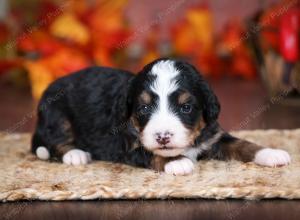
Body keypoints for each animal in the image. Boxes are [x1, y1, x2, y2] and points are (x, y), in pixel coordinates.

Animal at [32, 58, 290, 175]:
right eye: (144, 109)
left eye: (186, 108)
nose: (163, 137)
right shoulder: (128, 145)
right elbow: (151, 153)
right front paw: (177, 162)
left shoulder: (213, 136)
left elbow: (243, 144)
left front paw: (271, 153)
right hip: (57, 115)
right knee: (54, 141)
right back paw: (75, 154)